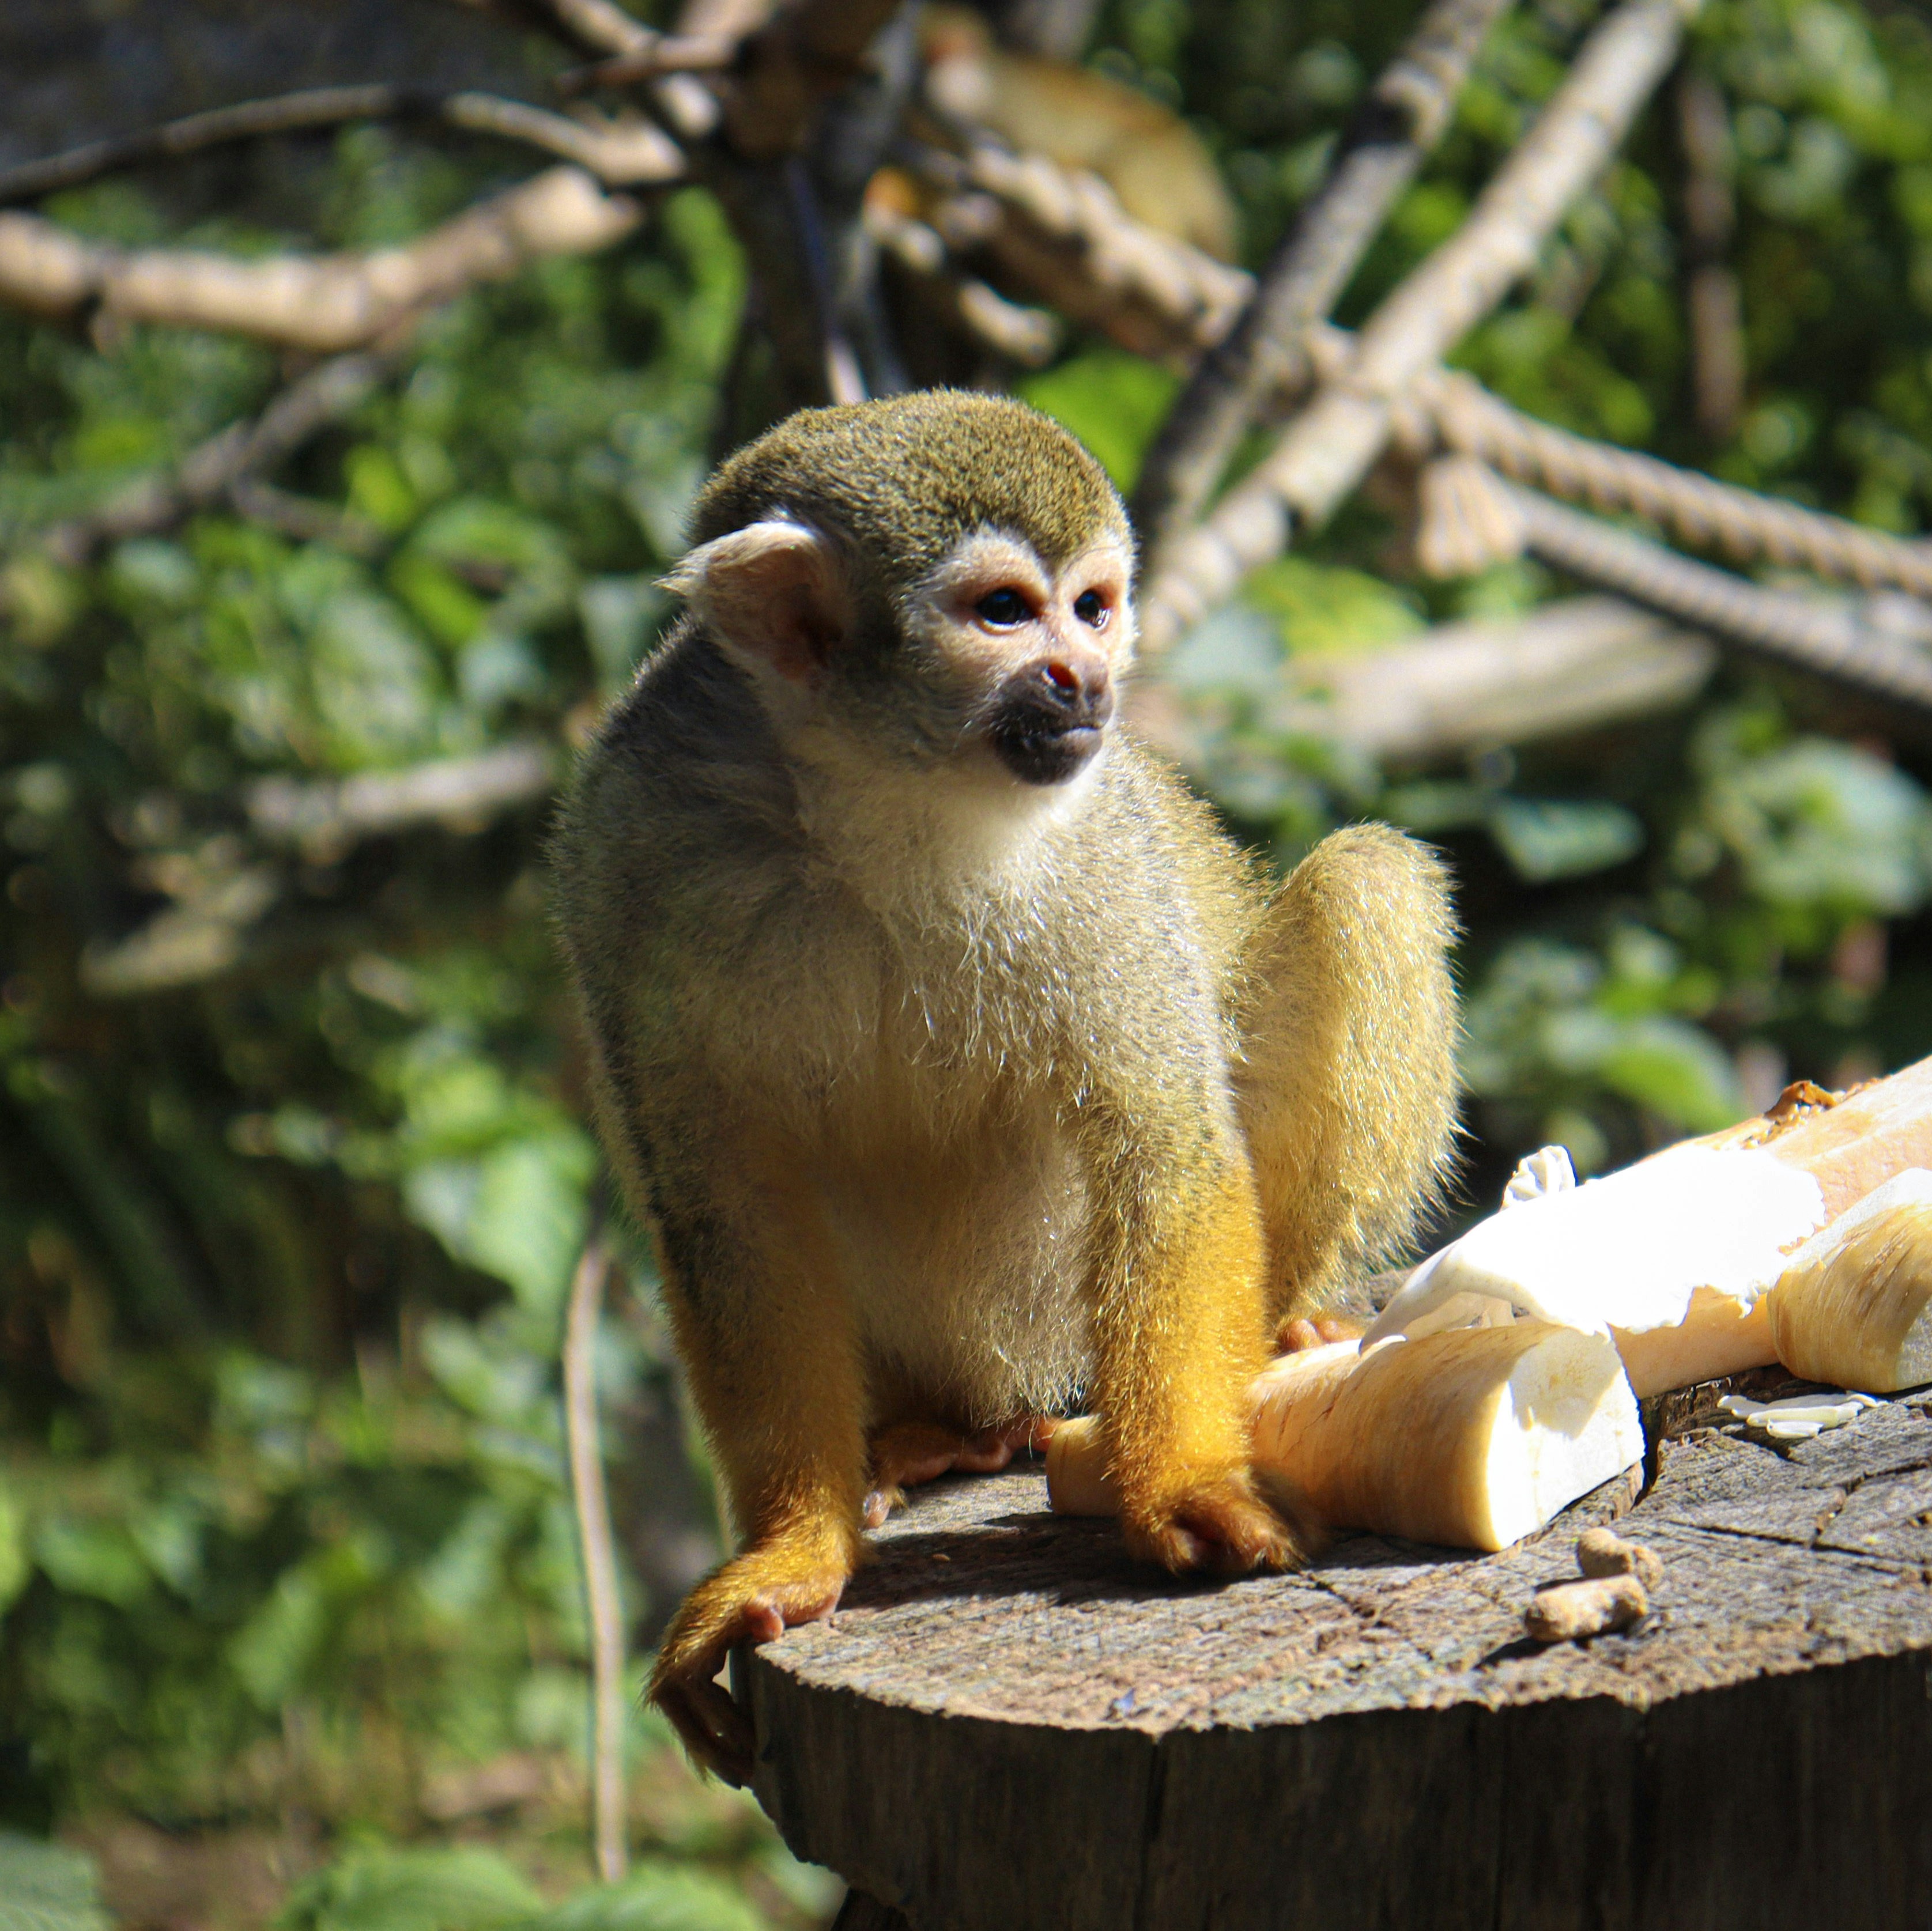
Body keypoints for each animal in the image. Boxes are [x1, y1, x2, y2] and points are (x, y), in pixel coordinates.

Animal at [549, 391, 1458, 1783]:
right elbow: (724, 1212)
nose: (1086, 680)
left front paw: (1180, 1484)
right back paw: (932, 1437)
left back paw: (1272, 1331)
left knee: (1368, 883)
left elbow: (1165, 1143)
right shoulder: (631, 848)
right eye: (1001, 613)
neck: (877, 802)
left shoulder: (1098, 842)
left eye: (1091, 605)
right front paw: (791, 1551)